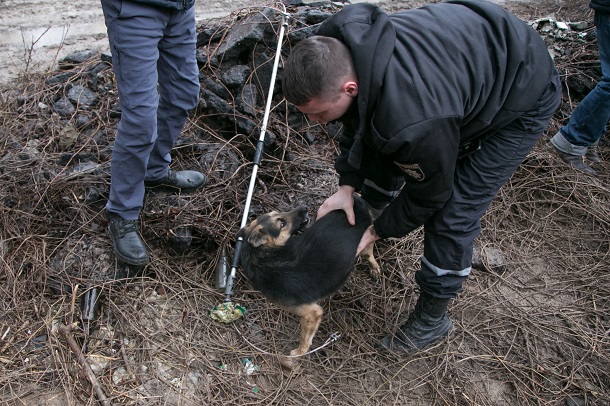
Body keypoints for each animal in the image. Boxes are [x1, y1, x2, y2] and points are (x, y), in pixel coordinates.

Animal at [235, 193, 378, 356]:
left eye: (279, 214)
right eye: (282, 223)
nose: (304, 207)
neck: (258, 255)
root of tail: (356, 201)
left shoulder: (312, 313)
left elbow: (305, 339)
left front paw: (298, 353)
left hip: (365, 236)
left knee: (369, 248)